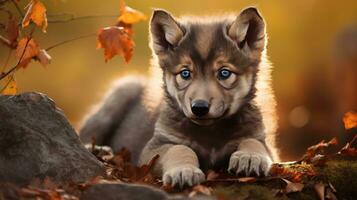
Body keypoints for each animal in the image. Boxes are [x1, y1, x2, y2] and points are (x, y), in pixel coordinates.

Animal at [79, 7, 276, 188]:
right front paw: (184, 171)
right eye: (185, 73)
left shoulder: (266, 144)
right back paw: (98, 149)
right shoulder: (154, 148)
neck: (210, 133)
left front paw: (249, 157)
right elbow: (180, 149)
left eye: (224, 73)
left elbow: (254, 142)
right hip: (122, 92)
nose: (199, 108)